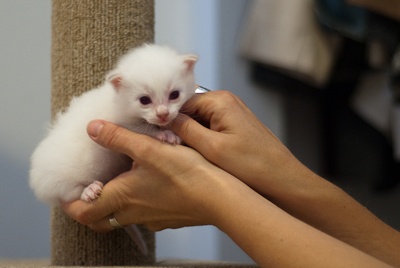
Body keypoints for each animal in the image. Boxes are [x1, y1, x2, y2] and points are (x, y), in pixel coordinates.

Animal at [28, 43, 198, 253]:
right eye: (144, 100)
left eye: (174, 95)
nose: (163, 114)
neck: (119, 100)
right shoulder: (123, 123)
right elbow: (146, 130)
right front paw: (165, 134)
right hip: (59, 180)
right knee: (70, 194)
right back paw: (88, 190)